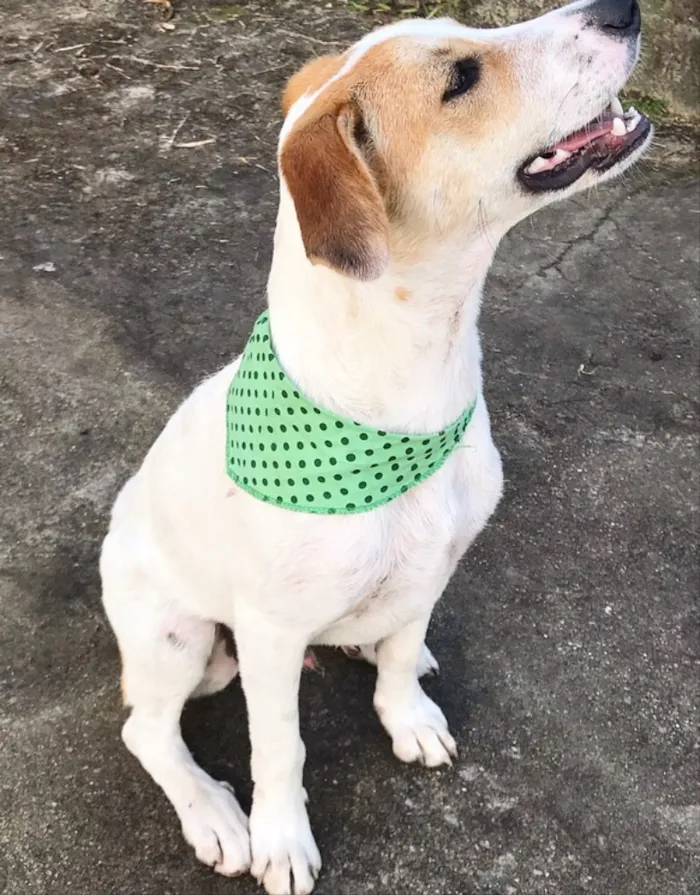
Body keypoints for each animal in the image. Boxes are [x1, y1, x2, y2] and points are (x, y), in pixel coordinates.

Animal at [100, 2, 651, 892]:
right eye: (460, 77)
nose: (621, 9)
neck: (404, 413)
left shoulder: (436, 560)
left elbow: (396, 654)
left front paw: (407, 712)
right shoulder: (270, 632)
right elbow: (279, 749)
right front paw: (279, 838)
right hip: (176, 638)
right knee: (148, 729)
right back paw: (212, 810)